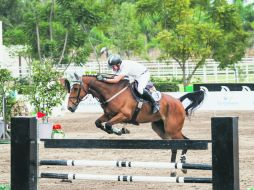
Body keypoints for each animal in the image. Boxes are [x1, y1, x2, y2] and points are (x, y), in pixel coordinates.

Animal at [62, 74, 205, 177]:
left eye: (75, 88)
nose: (70, 107)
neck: (111, 92)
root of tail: (178, 101)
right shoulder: (108, 115)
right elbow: (99, 123)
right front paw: (118, 130)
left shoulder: (124, 115)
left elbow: (108, 125)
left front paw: (120, 131)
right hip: (160, 129)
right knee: (174, 146)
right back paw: (173, 170)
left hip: (173, 129)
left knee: (185, 141)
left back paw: (183, 165)